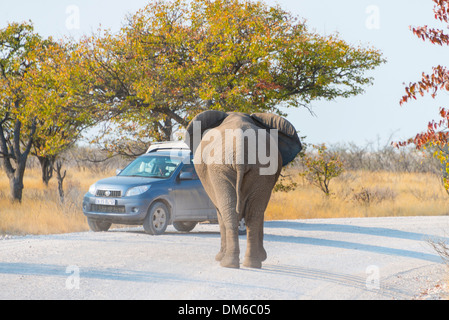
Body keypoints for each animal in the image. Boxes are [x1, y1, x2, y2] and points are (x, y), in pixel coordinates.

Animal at [186, 110, 300, 268]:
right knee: (253, 214)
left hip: (220, 169)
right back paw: (251, 263)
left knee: (230, 212)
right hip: (256, 169)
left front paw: (219, 258)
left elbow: (220, 213)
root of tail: (240, 149)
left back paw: (228, 263)